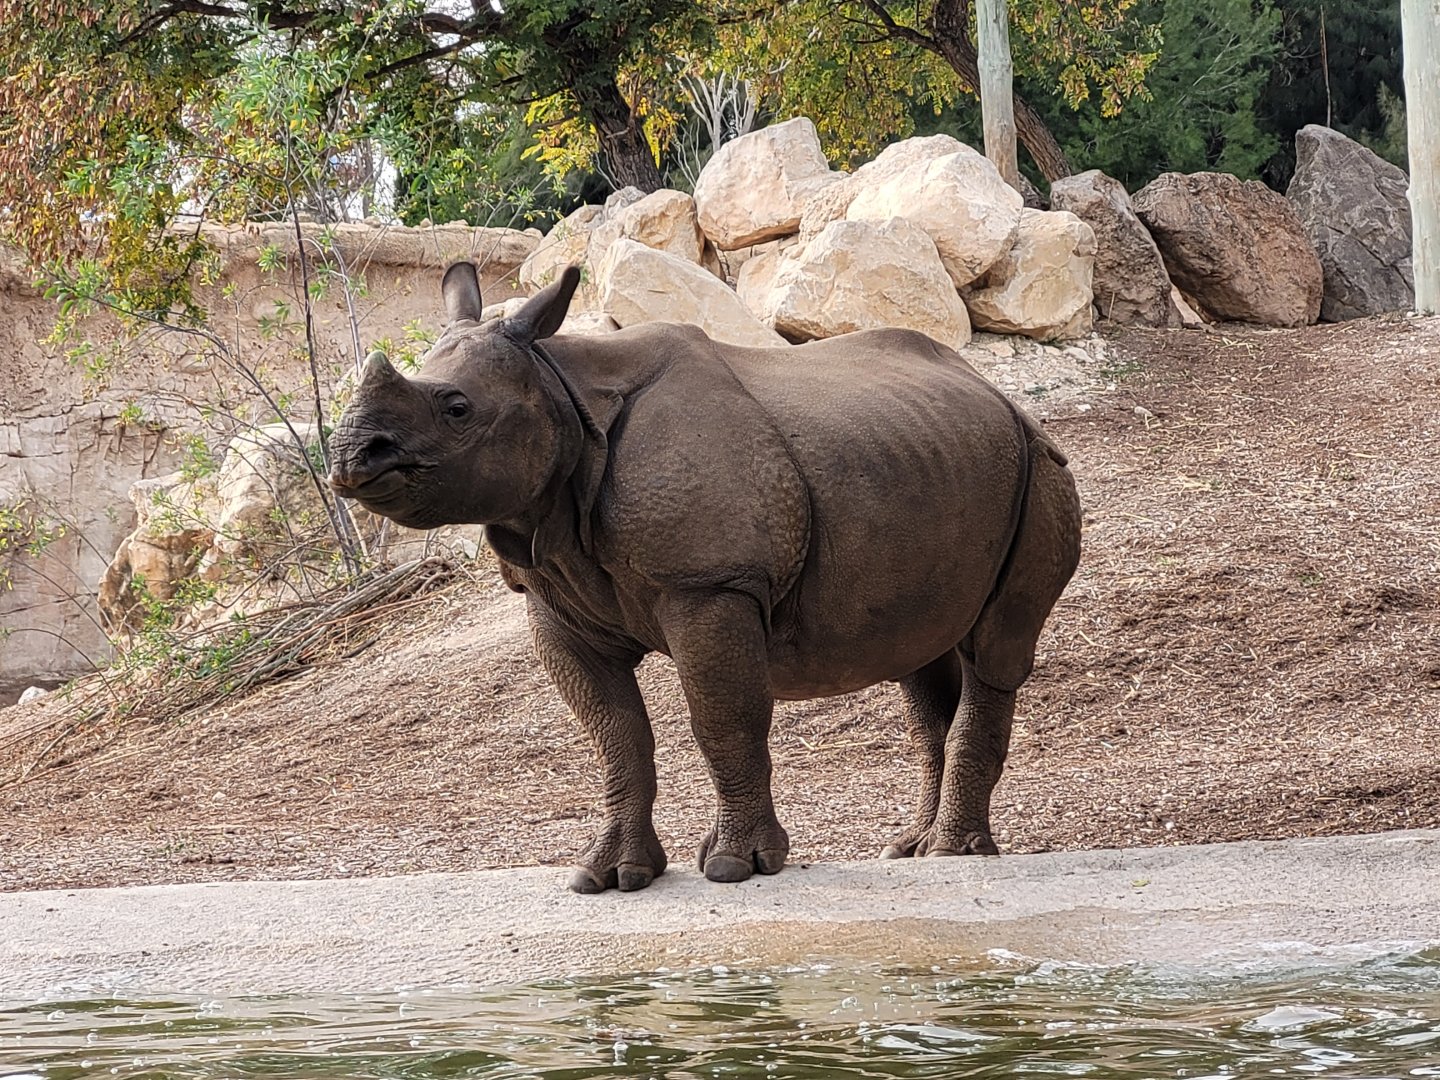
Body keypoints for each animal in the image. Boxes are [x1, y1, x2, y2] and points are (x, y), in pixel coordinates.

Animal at [329, 261, 1082, 893]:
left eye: (457, 409)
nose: (351, 456)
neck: (558, 392)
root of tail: (1004, 397)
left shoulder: (710, 585)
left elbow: (723, 719)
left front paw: (734, 867)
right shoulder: (554, 600)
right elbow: (615, 733)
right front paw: (610, 877)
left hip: (1043, 470)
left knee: (995, 648)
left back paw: (955, 853)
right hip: (934, 459)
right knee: (922, 660)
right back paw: (910, 848)